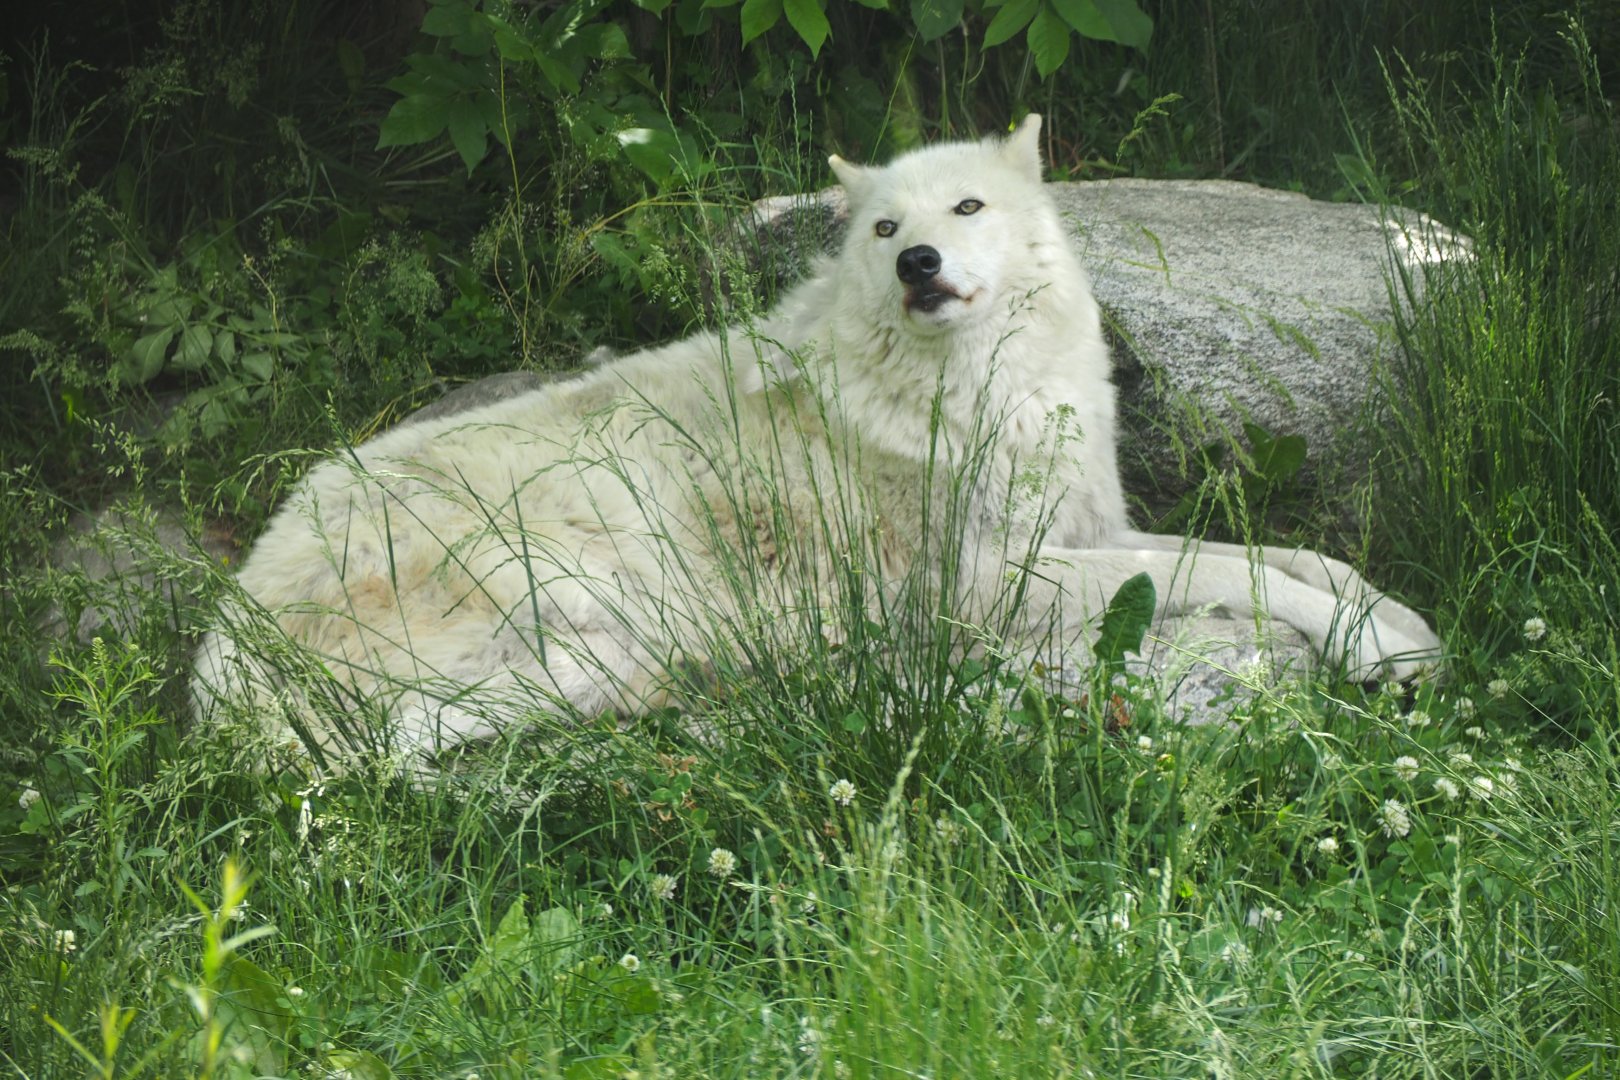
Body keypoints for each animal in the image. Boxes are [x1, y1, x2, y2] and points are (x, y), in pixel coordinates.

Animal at [193, 114, 1442, 758]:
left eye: (967, 210)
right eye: (886, 228)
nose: (918, 262)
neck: (982, 390)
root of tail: (218, 670)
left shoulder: (1091, 527)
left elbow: (1287, 556)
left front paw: (1396, 619)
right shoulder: (987, 579)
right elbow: (1235, 577)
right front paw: (1373, 645)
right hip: (587, 563)